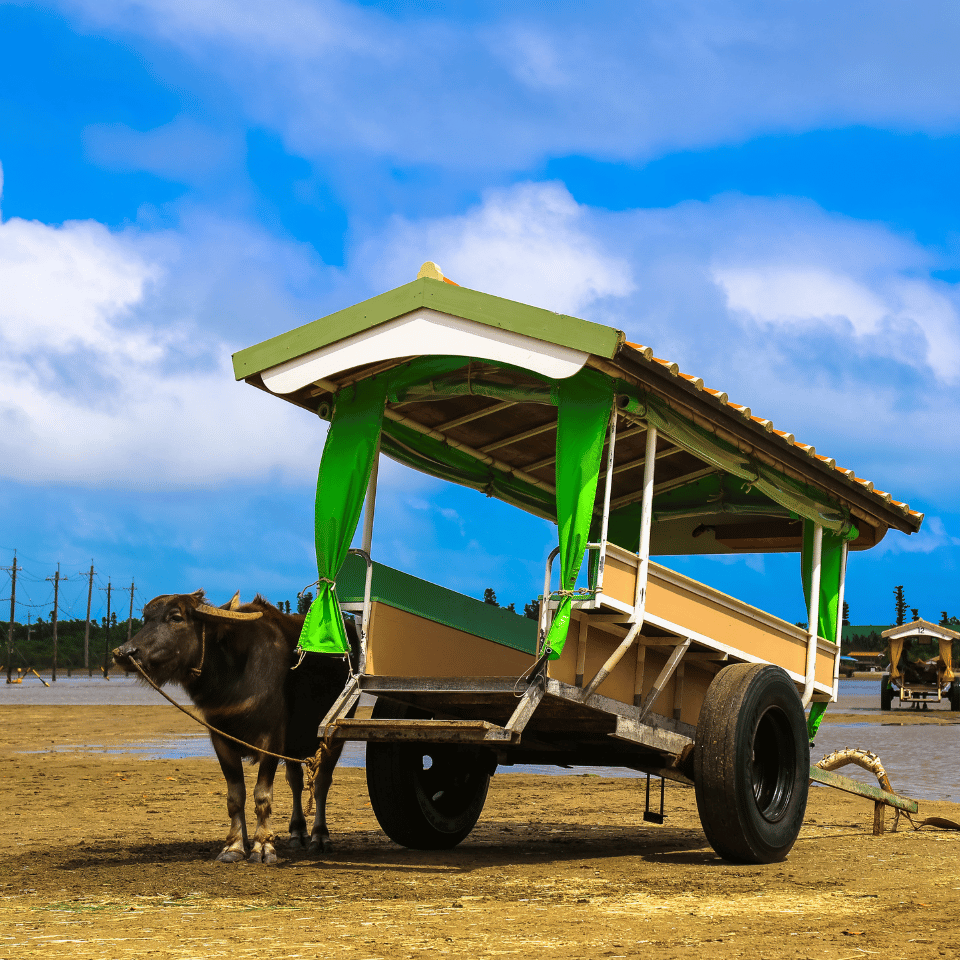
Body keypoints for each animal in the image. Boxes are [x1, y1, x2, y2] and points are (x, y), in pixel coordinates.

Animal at [115, 588, 356, 868]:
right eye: (146, 618)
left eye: (175, 617)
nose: (123, 653)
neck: (233, 675)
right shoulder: (221, 739)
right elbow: (235, 797)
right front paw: (234, 846)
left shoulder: (272, 739)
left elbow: (262, 795)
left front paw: (263, 847)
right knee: (295, 781)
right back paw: (298, 833)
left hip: (333, 737)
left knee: (321, 784)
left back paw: (319, 837)